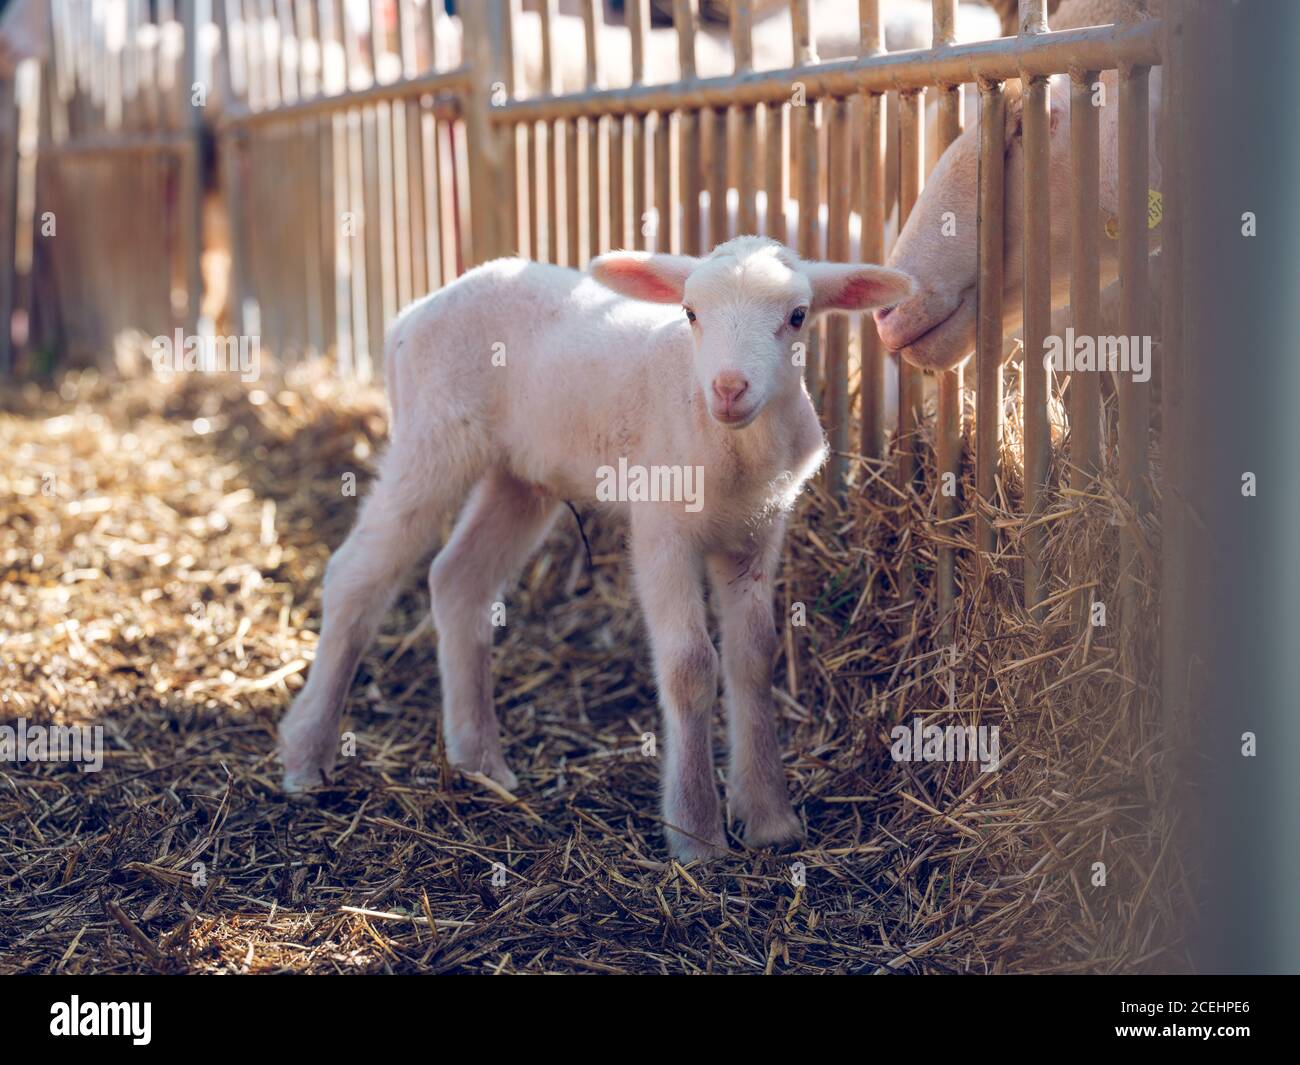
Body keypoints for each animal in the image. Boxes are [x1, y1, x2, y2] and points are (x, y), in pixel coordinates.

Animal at [278, 237, 909, 863]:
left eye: (797, 316)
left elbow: (755, 656)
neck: (733, 451)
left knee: (459, 580)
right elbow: (689, 664)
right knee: (356, 574)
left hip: (520, 475)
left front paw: (770, 818)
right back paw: (307, 754)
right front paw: (696, 833)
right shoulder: (661, 528)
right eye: (690, 312)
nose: (729, 389)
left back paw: (480, 761)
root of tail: (415, 311)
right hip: (432, 437)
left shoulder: (759, 535)